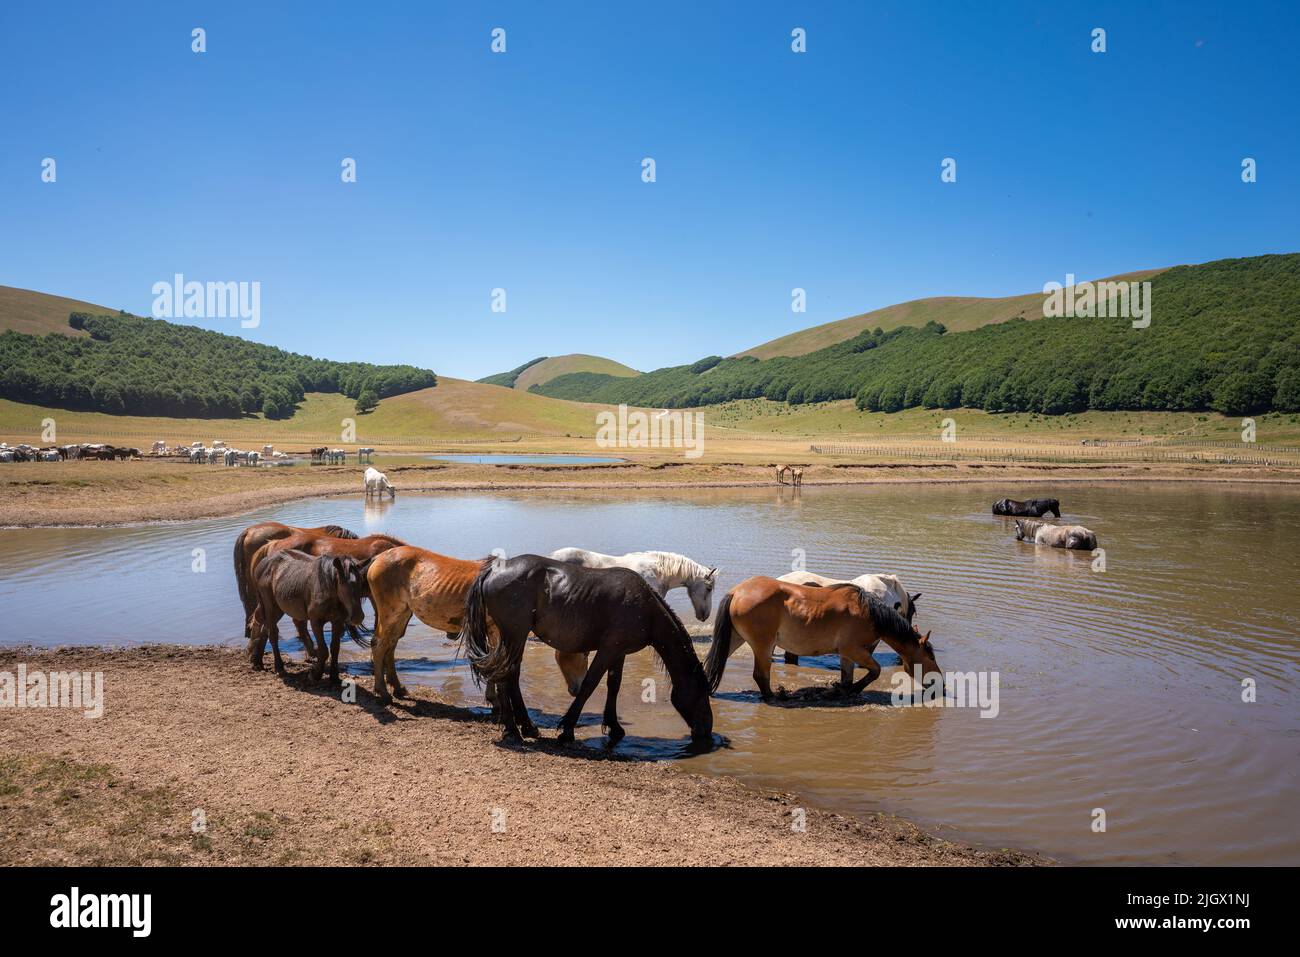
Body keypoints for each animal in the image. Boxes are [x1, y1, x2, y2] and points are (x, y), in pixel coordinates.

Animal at [248, 550, 368, 682]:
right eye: (342, 583)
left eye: (361, 583)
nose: (357, 617)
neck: (326, 587)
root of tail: (262, 563)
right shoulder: (316, 621)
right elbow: (323, 650)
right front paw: (315, 675)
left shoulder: (337, 621)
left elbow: (335, 649)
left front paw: (334, 677)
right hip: (270, 606)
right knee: (272, 634)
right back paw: (279, 667)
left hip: (278, 609)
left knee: (266, 629)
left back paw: (257, 662)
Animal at [461, 555, 714, 748]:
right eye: (701, 694)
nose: (707, 730)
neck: (646, 607)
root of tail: (494, 569)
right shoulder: (608, 650)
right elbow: (589, 685)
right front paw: (567, 730)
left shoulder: (619, 653)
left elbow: (614, 686)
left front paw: (614, 727)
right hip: (514, 636)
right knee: (506, 676)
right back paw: (512, 731)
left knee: (511, 677)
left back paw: (528, 727)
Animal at [705, 576, 941, 700]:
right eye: (930, 657)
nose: (940, 683)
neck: (869, 613)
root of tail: (737, 591)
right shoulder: (854, 650)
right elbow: (875, 671)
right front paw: (853, 690)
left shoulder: (847, 655)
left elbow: (847, 677)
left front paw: (841, 691)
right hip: (763, 646)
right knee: (760, 676)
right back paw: (776, 697)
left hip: (736, 639)